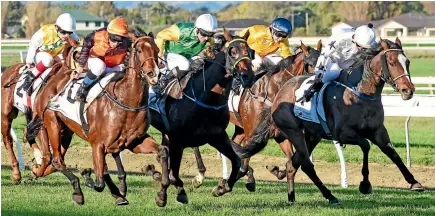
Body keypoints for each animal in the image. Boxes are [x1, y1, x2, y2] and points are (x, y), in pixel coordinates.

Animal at [1, 35, 79, 184]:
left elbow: (58, 157)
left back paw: (36, 157)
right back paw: (16, 173)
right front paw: (37, 170)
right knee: (8, 140)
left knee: (27, 132)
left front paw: (39, 169)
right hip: (6, 115)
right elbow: (49, 156)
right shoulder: (43, 124)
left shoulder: (67, 131)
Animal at [152, 28, 258, 208]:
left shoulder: (217, 136)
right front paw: (177, 191)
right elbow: (174, 172)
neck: (205, 98)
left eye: (250, 52)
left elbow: (236, 160)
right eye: (232, 51)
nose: (248, 76)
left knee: (163, 153)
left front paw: (221, 188)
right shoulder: (177, 140)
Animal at [192, 39, 324, 190]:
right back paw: (200, 175)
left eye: (325, 63)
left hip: (239, 127)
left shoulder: (280, 135)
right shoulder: (252, 134)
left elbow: (291, 161)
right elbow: (244, 164)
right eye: (311, 65)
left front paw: (275, 171)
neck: (273, 92)